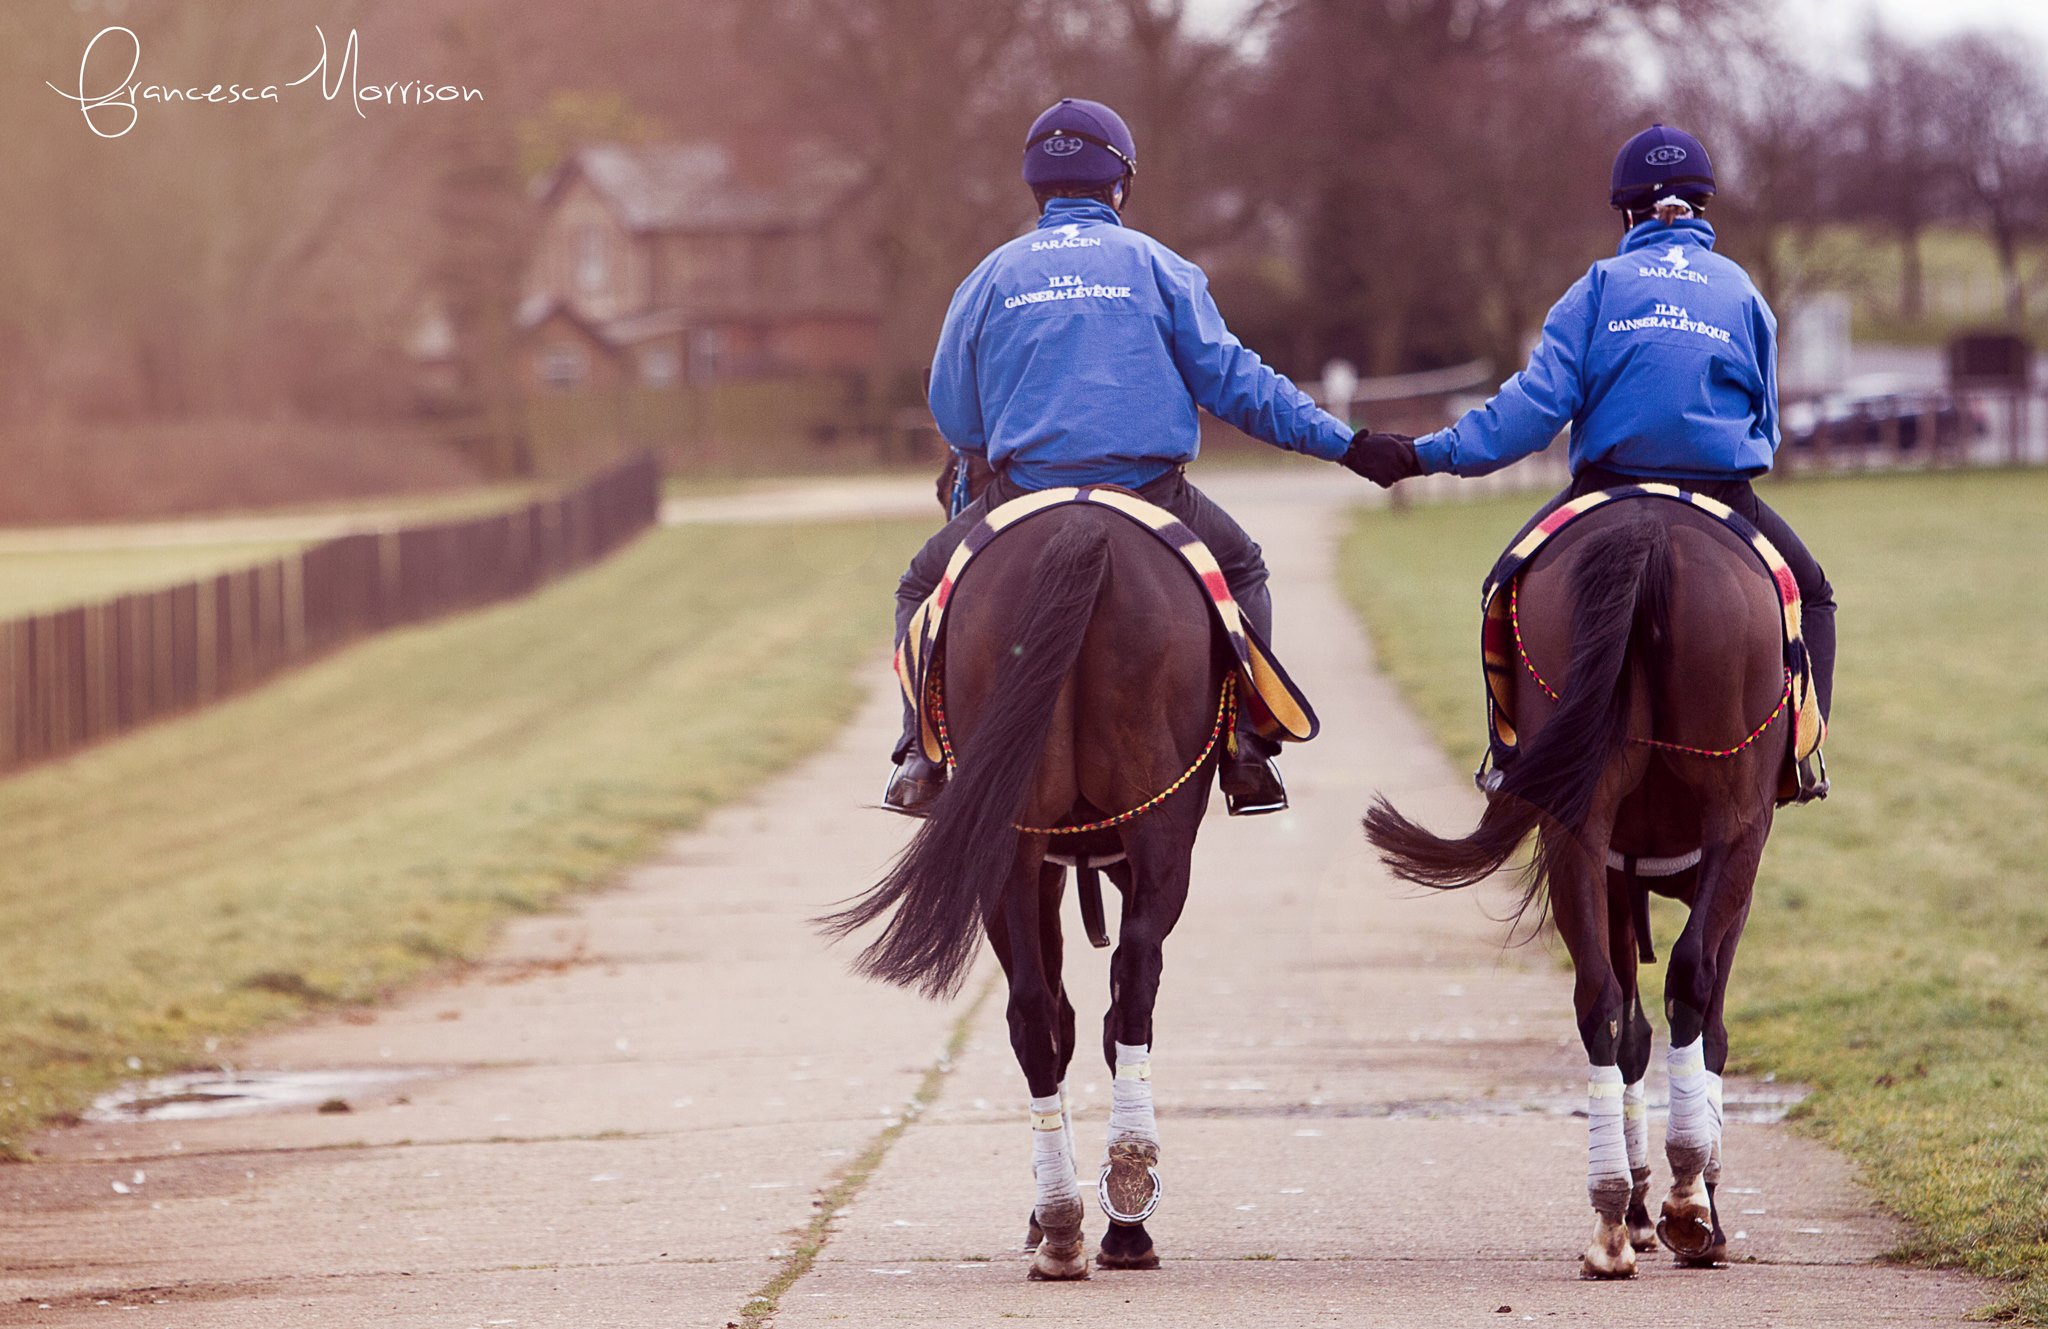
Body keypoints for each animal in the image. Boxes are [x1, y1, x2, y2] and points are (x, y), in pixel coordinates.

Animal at [819, 497, 1228, 1277]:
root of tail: (1082, 527)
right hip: (1144, 832)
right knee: (1114, 990)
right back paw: (1109, 1214)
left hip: (1021, 845)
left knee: (1044, 1010)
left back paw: (1076, 1217)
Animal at [1368, 503, 1785, 1277]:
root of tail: (1650, 529)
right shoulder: (1737, 869)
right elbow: (1708, 1025)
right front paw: (1694, 1210)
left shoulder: (1618, 872)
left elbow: (1632, 1033)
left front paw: (1640, 1210)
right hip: (1734, 821)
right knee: (1689, 980)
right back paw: (1687, 1197)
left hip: (1577, 831)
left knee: (1599, 999)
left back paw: (1611, 1219)